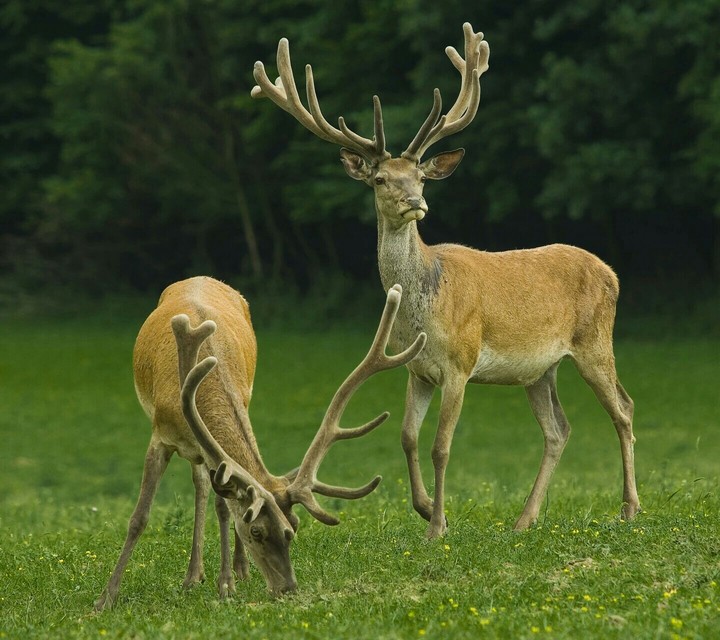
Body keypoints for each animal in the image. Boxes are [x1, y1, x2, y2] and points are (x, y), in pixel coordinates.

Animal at [94, 276, 425, 610]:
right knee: (201, 485)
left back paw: (224, 572)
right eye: (256, 530)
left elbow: (224, 506)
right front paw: (106, 598)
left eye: (293, 527)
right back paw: (193, 575)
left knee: (208, 490)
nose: (288, 587)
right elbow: (139, 517)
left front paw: (226, 584)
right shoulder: (160, 436)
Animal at [251, 22, 641, 538]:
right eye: (380, 179)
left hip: (595, 341)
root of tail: (611, 272)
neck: (422, 310)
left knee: (623, 408)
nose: (416, 202)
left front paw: (438, 525)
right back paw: (524, 519)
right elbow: (407, 437)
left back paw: (630, 508)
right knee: (559, 429)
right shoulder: (416, 369)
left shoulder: (460, 361)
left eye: (420, 176)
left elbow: (440, 447)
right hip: (540, 368)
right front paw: (423, 508)